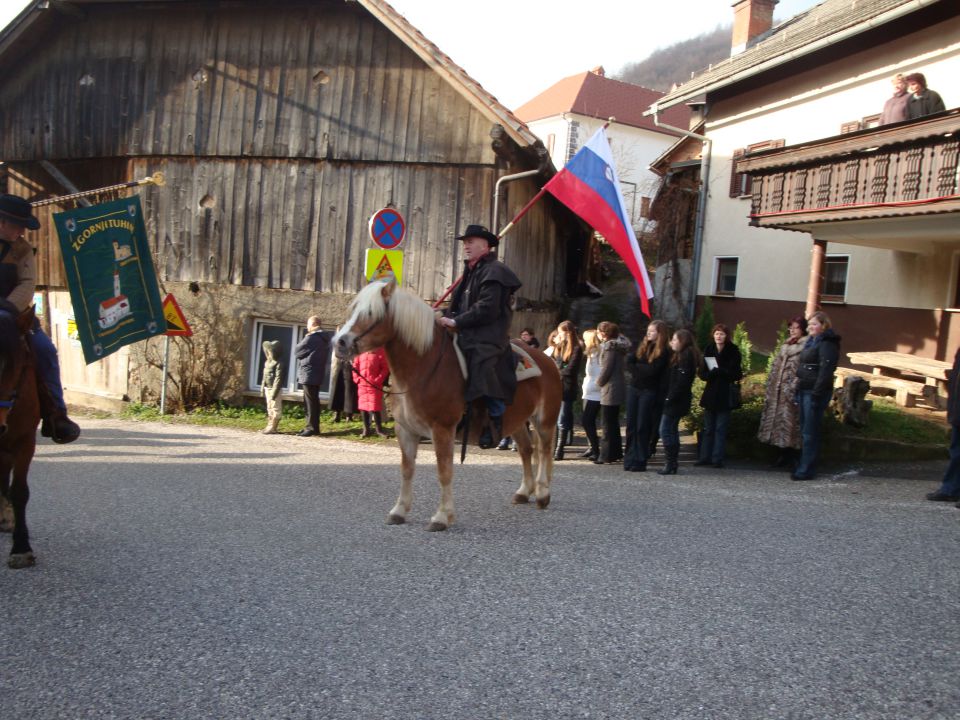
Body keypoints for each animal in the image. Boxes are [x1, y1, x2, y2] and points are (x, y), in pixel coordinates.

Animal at [336, 276, 564, 528]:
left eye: (370, 312)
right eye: (354, 310)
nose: (340, 342)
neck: (423, 367)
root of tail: (548, 360)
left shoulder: (442, 429)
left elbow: (444, 471)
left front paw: (442, 516)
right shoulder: (405, 429)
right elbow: (407, 469)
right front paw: (399, 510)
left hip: (544, 420)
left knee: (544, 450)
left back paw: (542, 493)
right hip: (516, 421)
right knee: (526, 449)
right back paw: (524, 492)